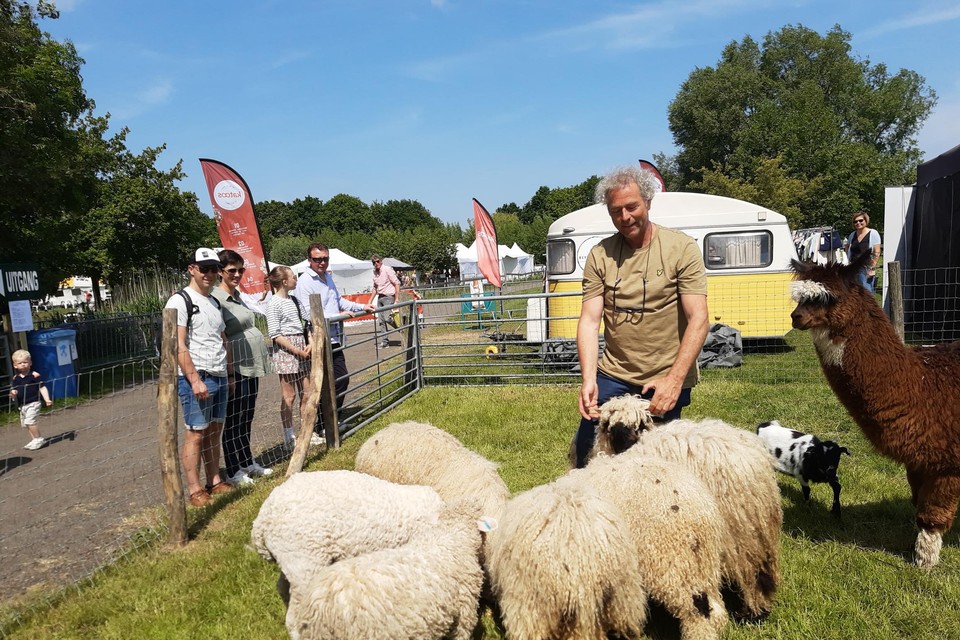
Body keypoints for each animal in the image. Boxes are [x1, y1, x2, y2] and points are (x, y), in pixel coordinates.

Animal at [568, 456, 728, 640]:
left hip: (672, 562)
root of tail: (697, 515)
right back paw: (720, 623)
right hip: (705, 560)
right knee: (713, 598)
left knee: (694, 609)